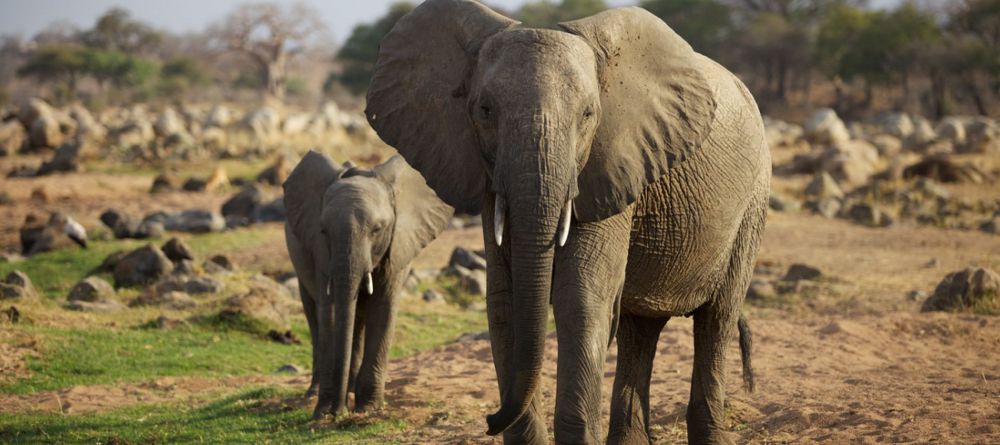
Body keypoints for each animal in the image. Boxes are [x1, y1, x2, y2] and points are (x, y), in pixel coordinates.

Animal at [282, 152, 454, 416]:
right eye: (323, 230)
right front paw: (323, 412)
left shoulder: (399, 244)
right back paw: (315, 393)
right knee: (315, 314)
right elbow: (330, 311)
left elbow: (383, 308)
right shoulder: (320, 250)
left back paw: (350, 390)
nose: (337, 412)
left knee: (357, 319)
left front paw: (368, 409)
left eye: (377, 229)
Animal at [366, 1, 764, 442]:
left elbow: (581, 298)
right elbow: (505, 300)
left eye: (589, 114)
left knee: (717, 319)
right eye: (484, 110)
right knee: (639, 328)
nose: (489, 420)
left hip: (752, 203)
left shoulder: (610, 166)